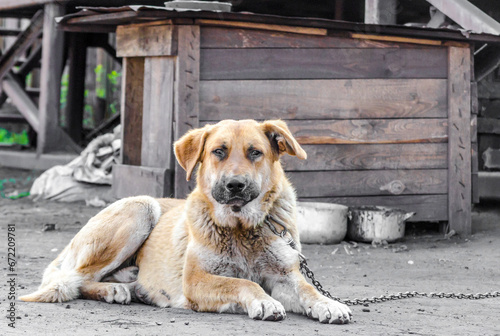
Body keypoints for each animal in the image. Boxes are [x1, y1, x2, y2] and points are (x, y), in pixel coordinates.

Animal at [20, 119, 352, 324]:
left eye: (255, 152)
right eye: (219, 151)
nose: (235, 185)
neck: (242, 229)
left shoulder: (285, 275)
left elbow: (308, 289)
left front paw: (328, 303)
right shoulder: (196, 280)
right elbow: (241, 281)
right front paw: (264, 301)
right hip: (141, 206)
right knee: (75, 279)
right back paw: (112, 290)